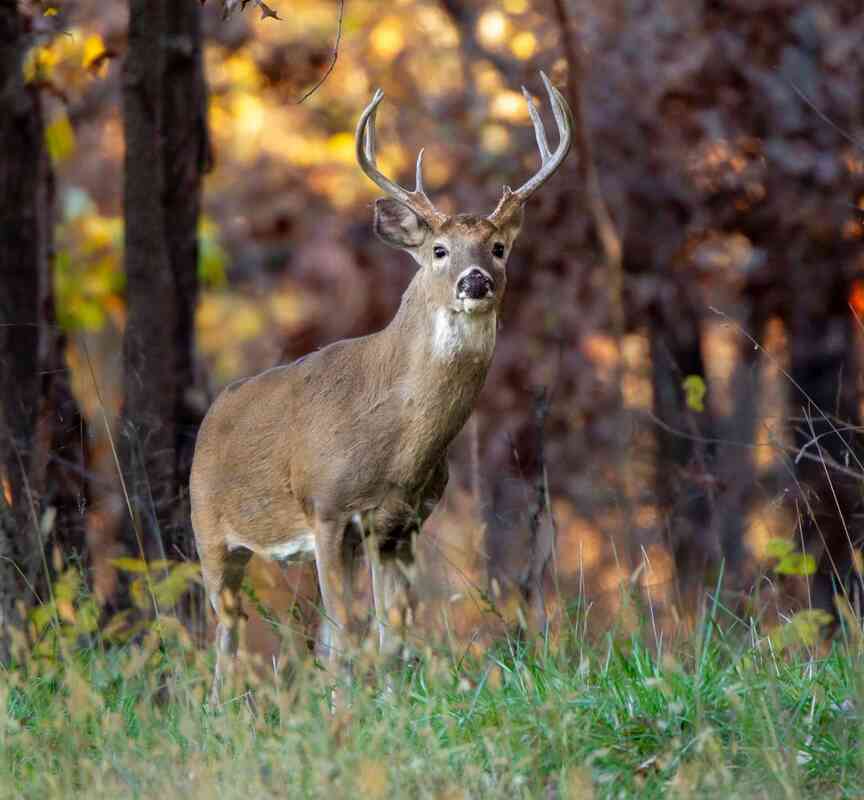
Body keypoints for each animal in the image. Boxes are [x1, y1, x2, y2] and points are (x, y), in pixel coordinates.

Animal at [190, 72, 572, 703]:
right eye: (439, 251)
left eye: (498, 248)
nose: (475, 281)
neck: (397, 444)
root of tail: (214, 410)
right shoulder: (326, 506)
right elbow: (351, 632)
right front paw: (354, 711)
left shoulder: (400, 522)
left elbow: (393, 635)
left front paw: (388, 707)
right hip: (210, 530)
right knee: (226, 635)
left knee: (306, 636)